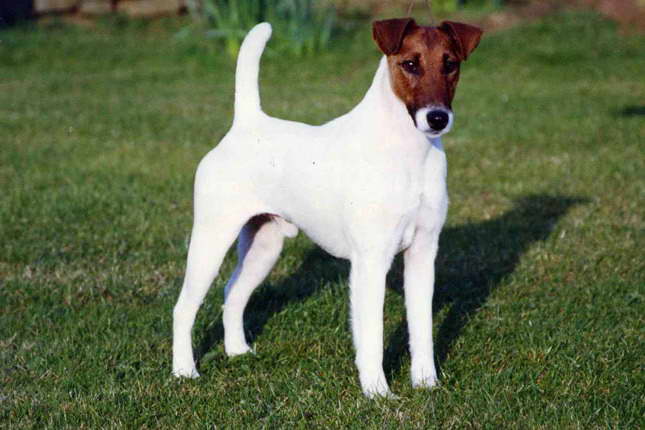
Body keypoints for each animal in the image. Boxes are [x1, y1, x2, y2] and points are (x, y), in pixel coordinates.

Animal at [172, 19, 484, 396]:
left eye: (450, 64)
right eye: (410, 64)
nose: (437, 118)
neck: (409, 153)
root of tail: (246, 123)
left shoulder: (423, 255)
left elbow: (421, 329)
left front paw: (426, 384)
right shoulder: (371, 262)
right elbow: (372, 335)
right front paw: (378, 393)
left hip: (264, 245)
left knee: (233, 292)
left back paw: (237, 352)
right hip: (211, 240)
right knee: (184, 308)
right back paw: (184, 371)